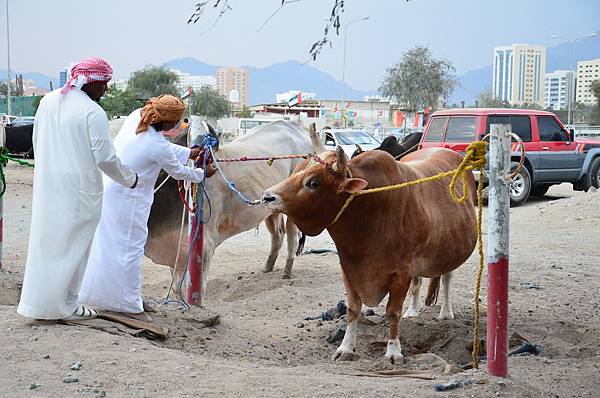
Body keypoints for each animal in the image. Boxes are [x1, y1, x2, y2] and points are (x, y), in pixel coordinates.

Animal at [264, 147, 476, 364]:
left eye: (313, 182)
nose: (267, 197)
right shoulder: (349, 269)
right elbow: (353, 310)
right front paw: (346, 348)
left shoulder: (401, 274)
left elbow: (393, 312)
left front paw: (394, 351)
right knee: (418, 282)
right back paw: (413, 310)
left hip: (450, 252)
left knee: (447, 278)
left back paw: (446, 312)